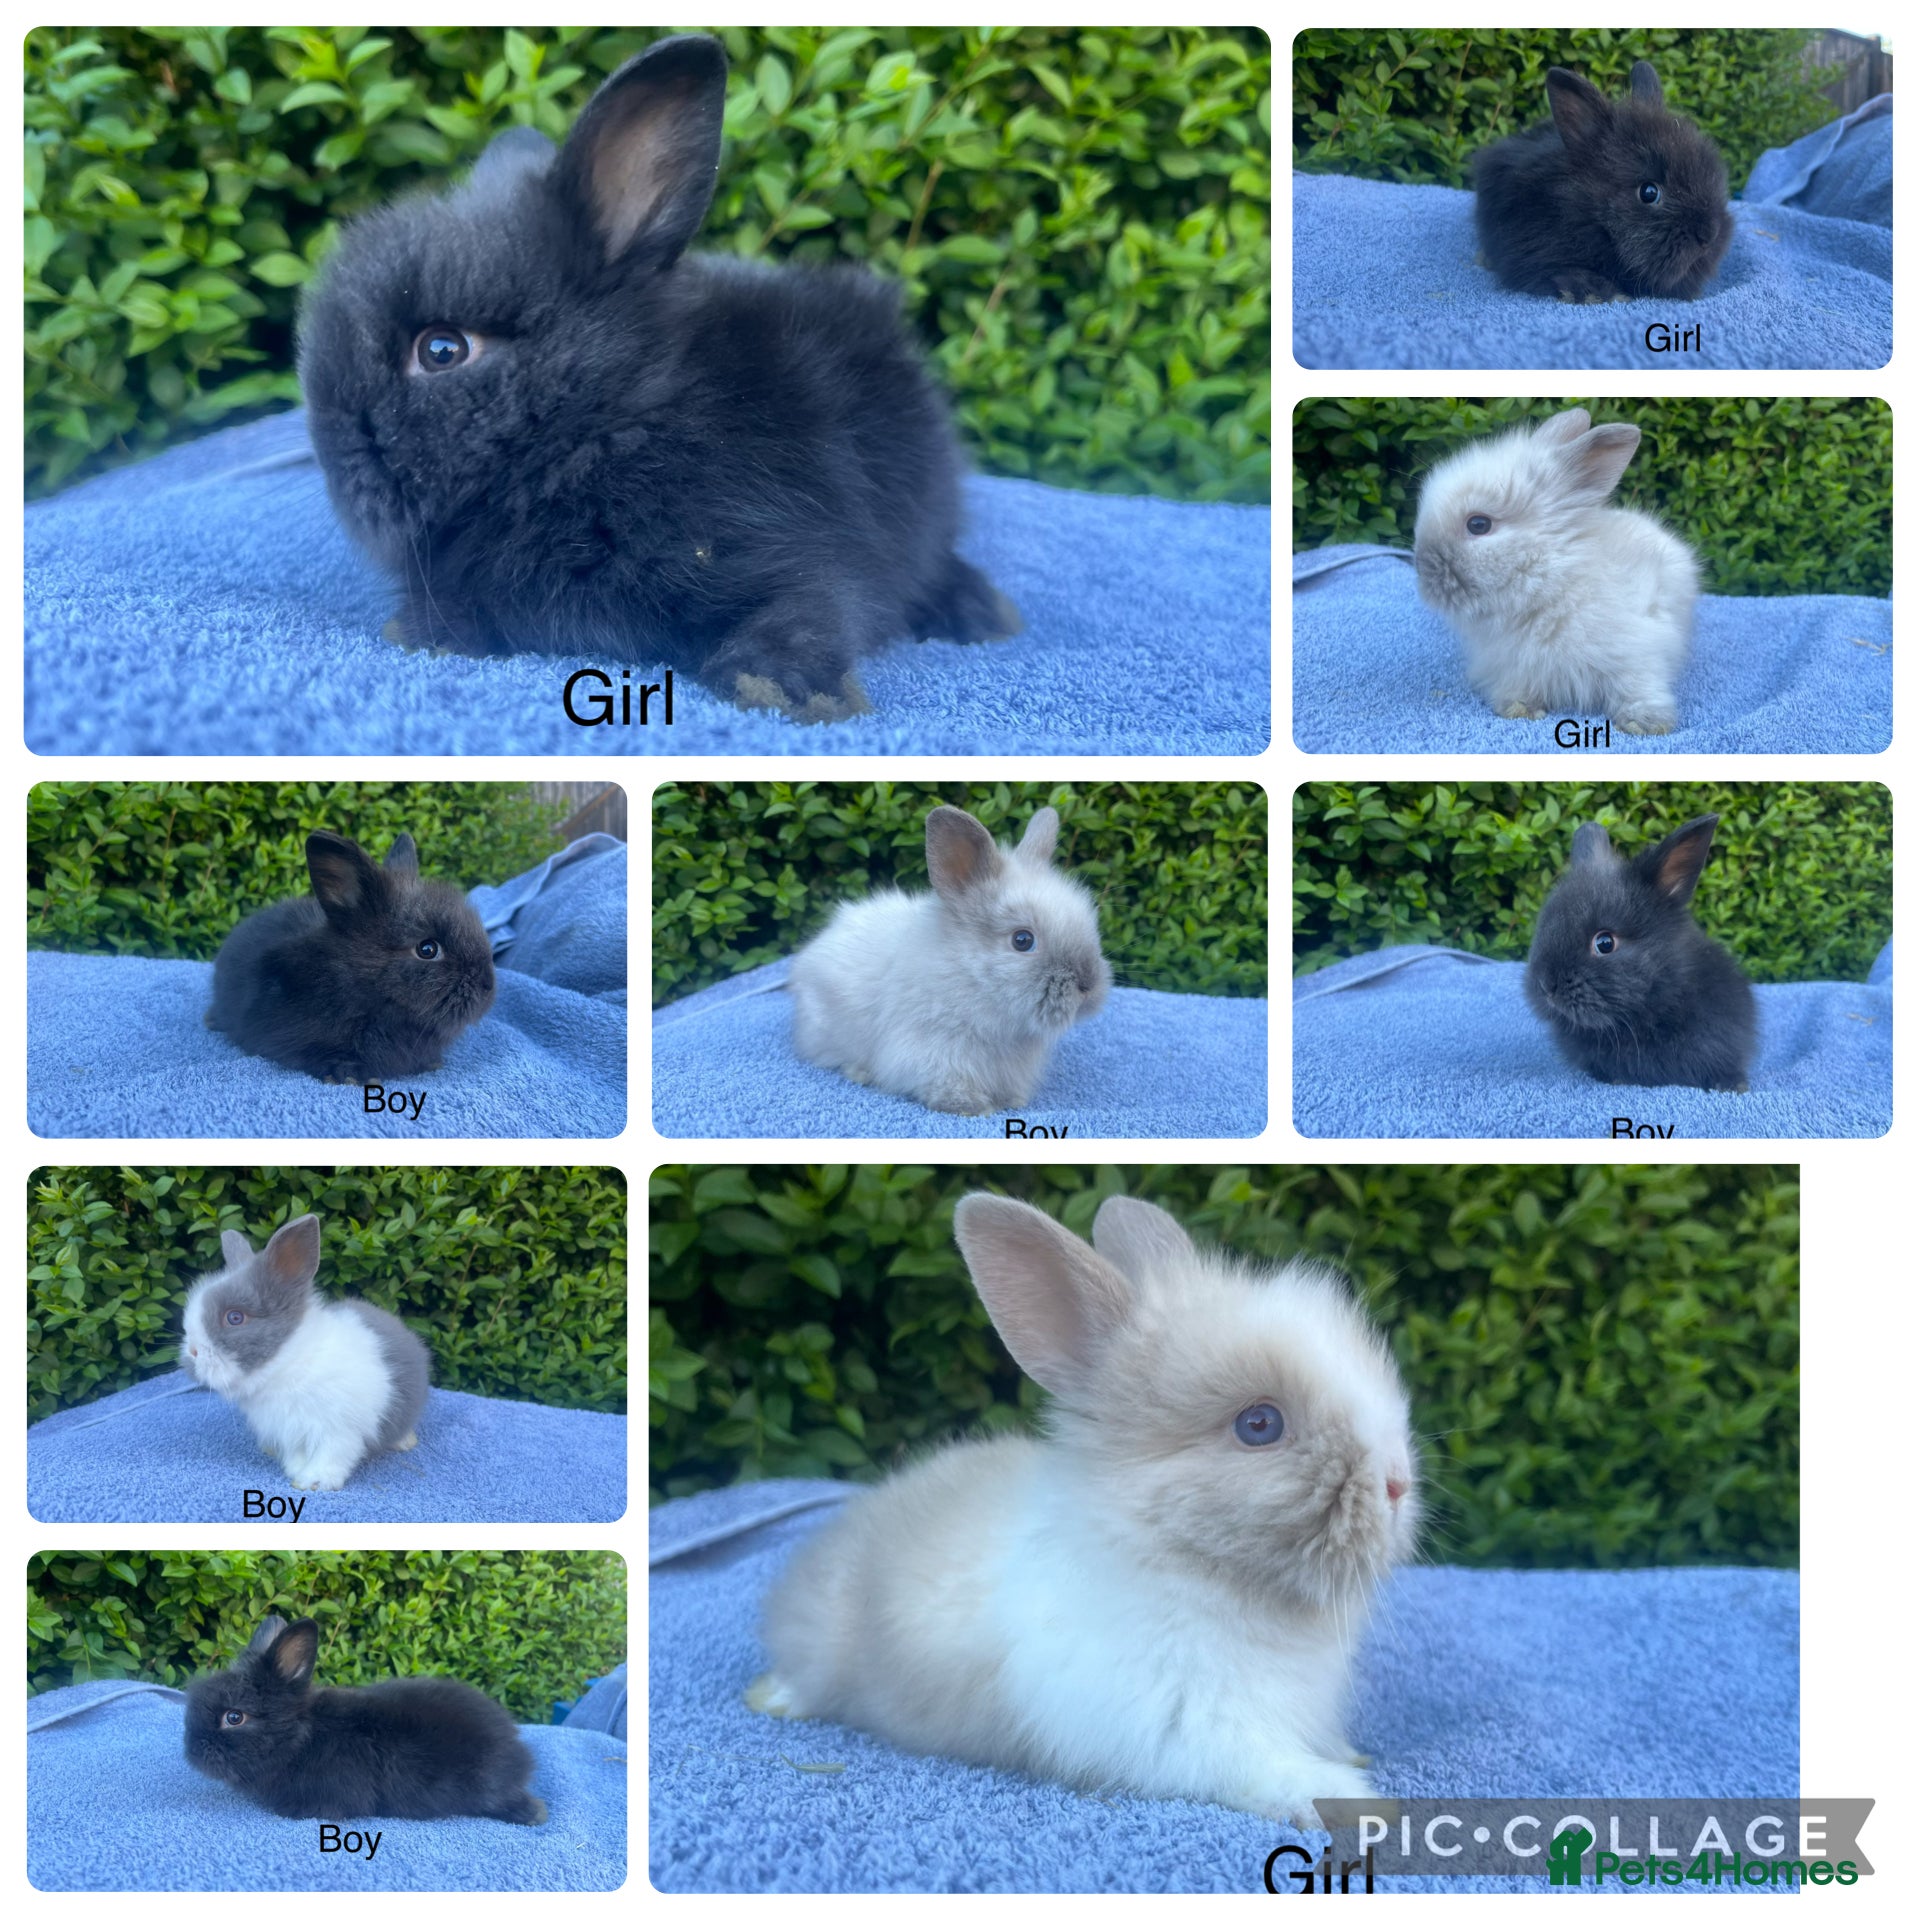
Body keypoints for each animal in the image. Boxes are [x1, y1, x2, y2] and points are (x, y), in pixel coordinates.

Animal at [179, 1213, 433, 1492]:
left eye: (234, 1318)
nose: (192, 1353)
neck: (286, 1365)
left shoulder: (339, 1430)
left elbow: (332, 1456)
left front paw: (314, 1482)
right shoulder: (290, 1433)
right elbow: (297, 1455)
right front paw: (296, 1472)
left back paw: (405, 1442)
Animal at [298, 32, 1018, 725]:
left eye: (442, 350)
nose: (337, 467)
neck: (611, 426)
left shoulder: (796, 548)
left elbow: (813, 612)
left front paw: (786, 692)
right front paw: (427, 632)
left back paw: (981, 613)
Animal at [748, 1192, 1419, 1828]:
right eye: (1259, 1425)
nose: (1398, 1483)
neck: (1184, 1559)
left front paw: (1349, 1758)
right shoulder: (1182, 1728)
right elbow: (1262, 1768)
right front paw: (1355, 1801)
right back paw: (768, 1699)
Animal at [788, 804, 1111, 1114]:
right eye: (1022, 940)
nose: (1088, 986)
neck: (968, 977)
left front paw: (1012, 1101)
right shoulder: (935, 1051)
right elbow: (948, 1085)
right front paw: (973, 1108)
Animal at [1413, 406, 1697, 735]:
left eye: (1479, 524)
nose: (1422, 569)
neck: (1550, 586)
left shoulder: (1639, 655)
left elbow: (1639, 688)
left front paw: (1645, 724)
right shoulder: (1517, 668)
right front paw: (1519, 710)